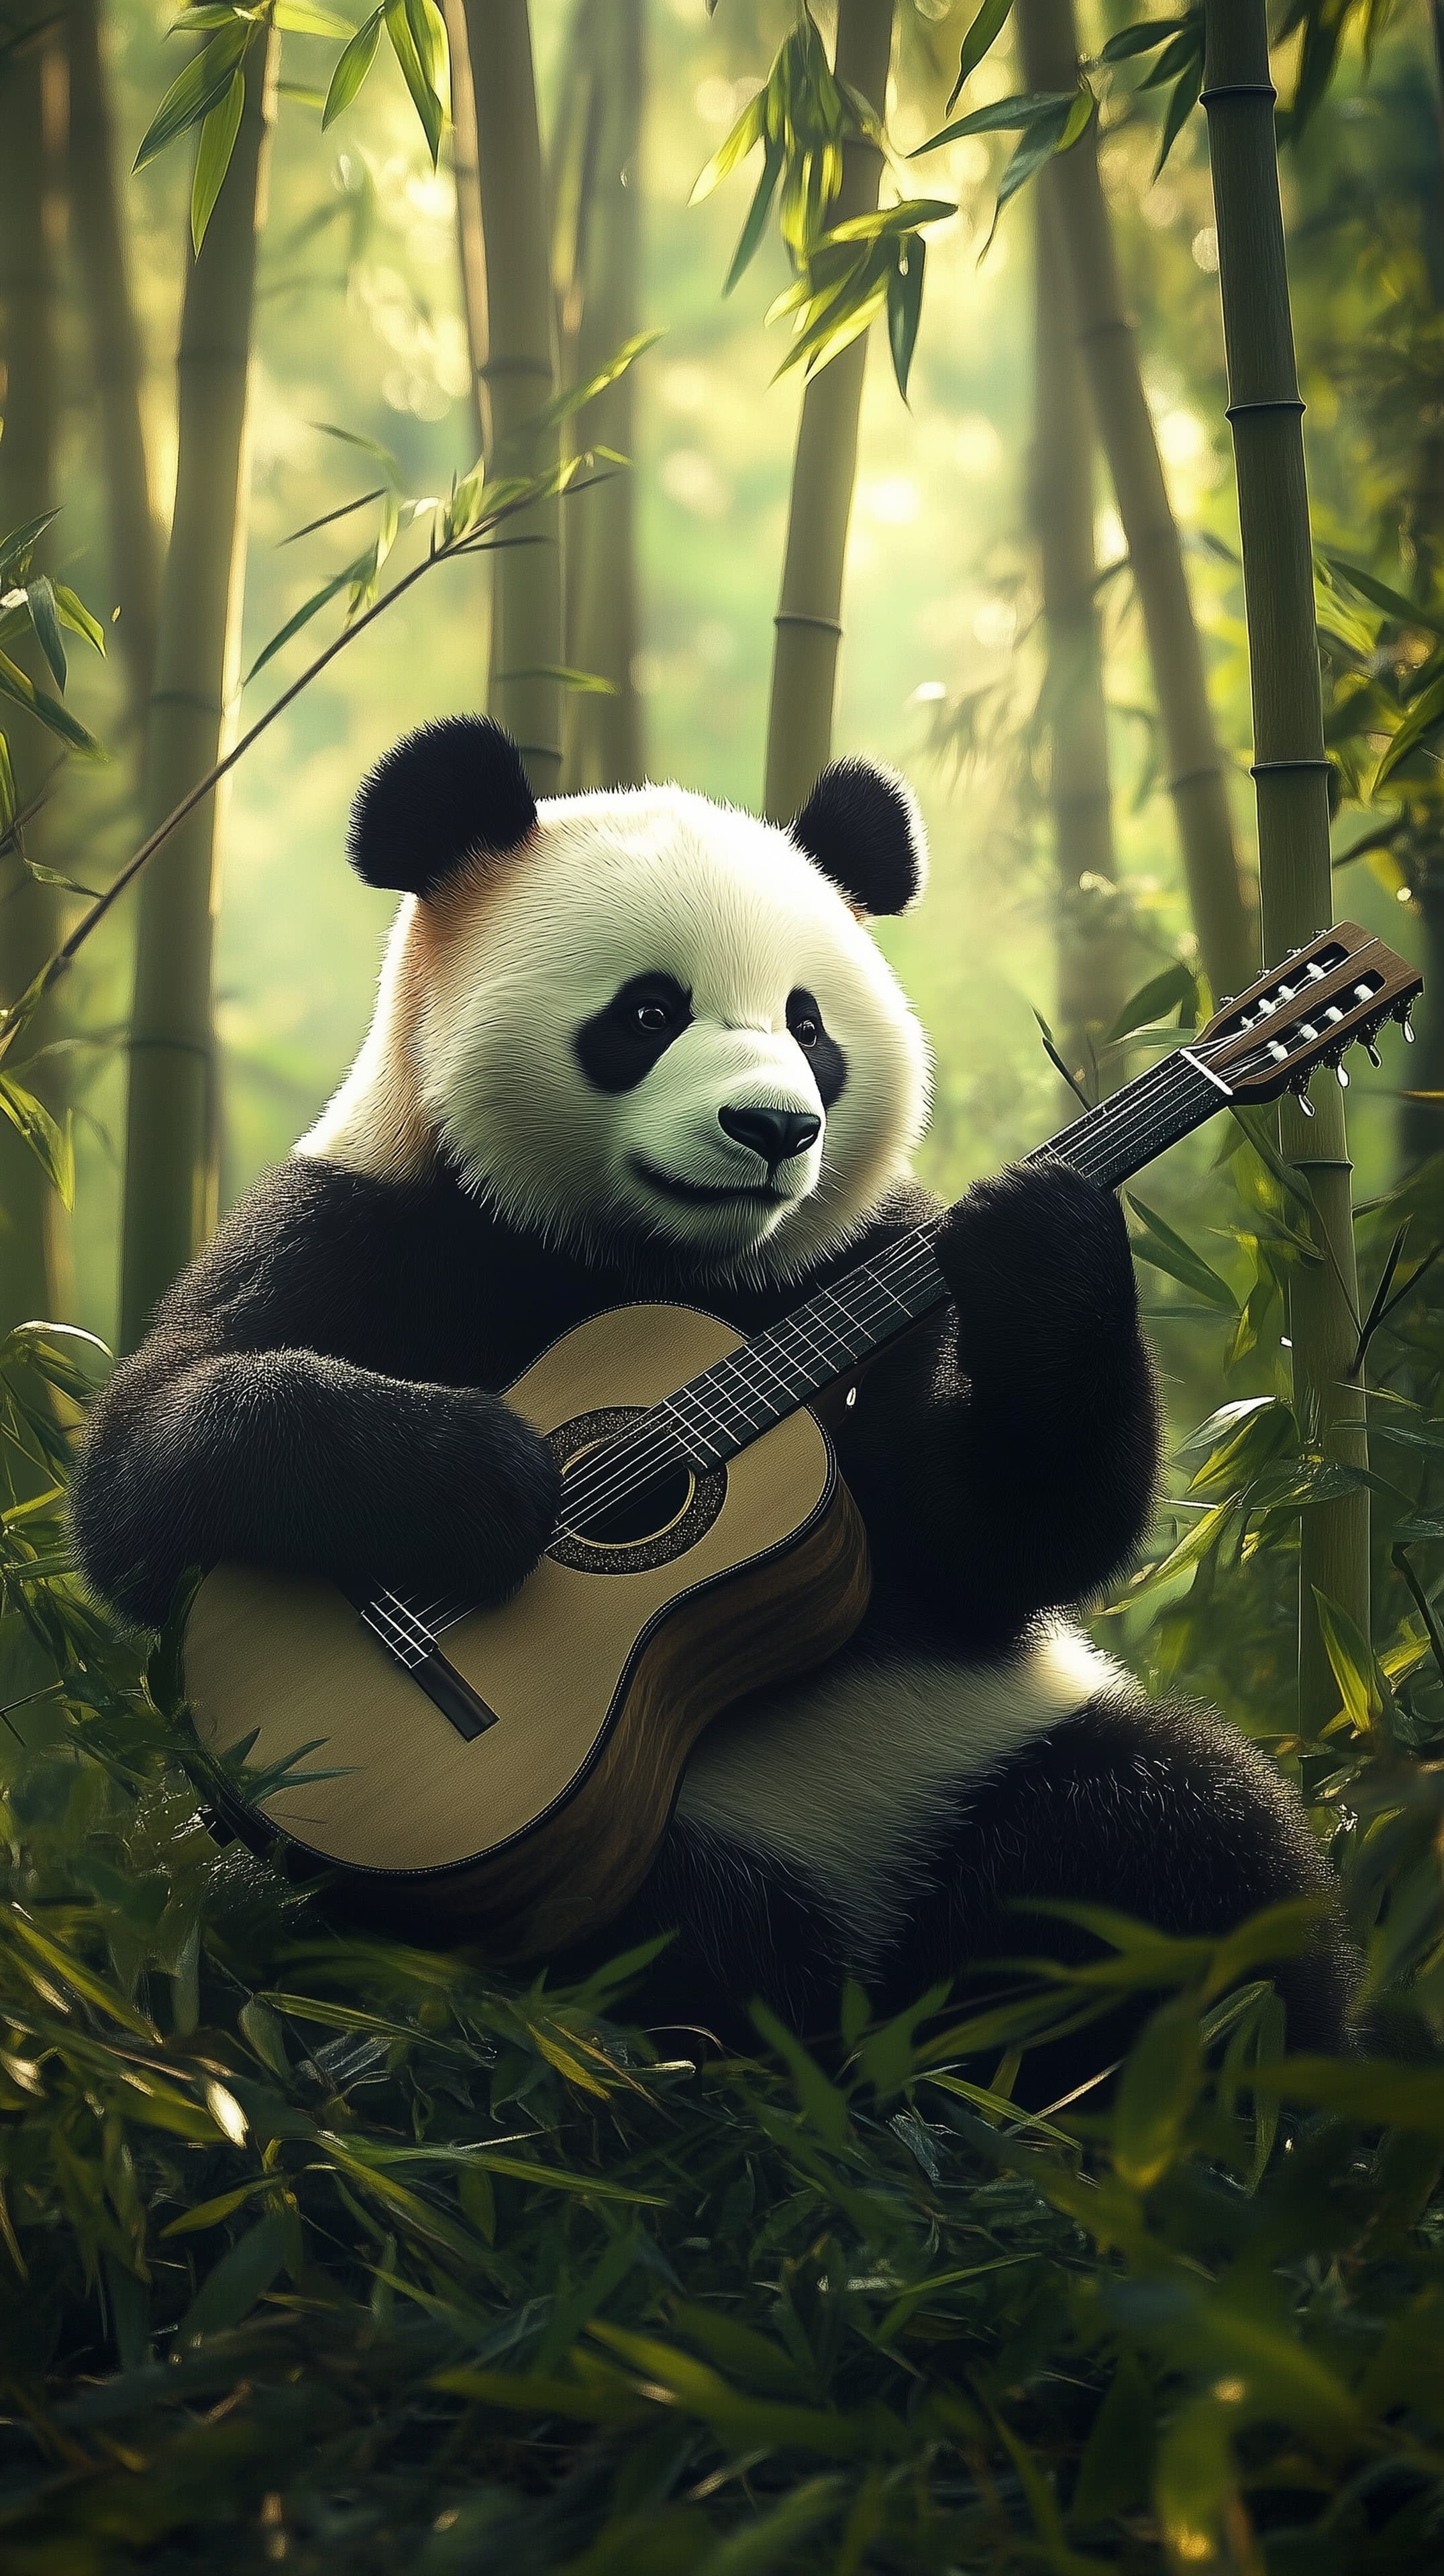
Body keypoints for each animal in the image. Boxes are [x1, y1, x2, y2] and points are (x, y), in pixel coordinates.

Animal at [70, 716, 1354, 2082]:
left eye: (809, 1024)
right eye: (647, 1012)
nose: (775, 1128)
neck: (656, 1263)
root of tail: (873, 1990)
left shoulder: (874, 1263)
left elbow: (1000, 1538)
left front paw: (1042, 1235)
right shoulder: (361, 1219)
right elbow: (155, 1465)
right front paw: (482, 1479)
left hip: (990, 1752)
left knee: (1176, 1863)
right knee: (500, 1934)